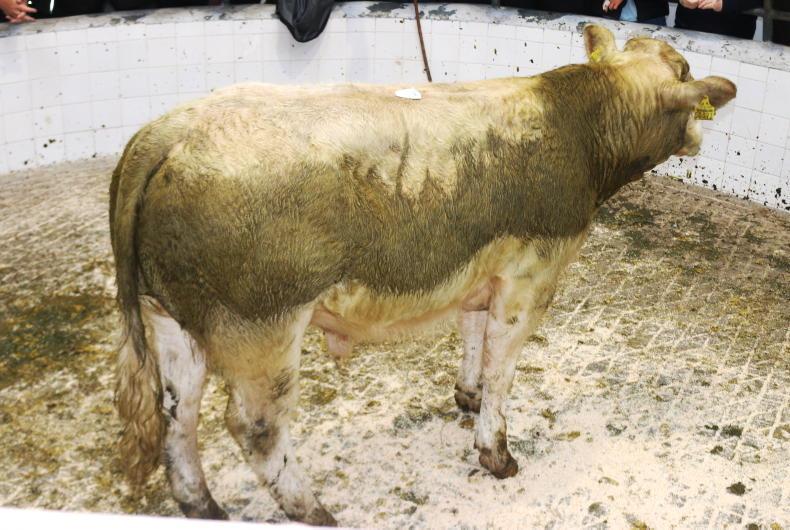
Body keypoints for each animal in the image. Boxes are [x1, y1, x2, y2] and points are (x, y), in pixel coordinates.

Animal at [110, 24, 735, 526]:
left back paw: (203, 506)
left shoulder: (483, 269)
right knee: (255, 429)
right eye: (687, 76)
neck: (580, 124)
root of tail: (171, 128)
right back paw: (314, 512)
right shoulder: (532, 274)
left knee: (177, 410)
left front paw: (468, 397)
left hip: (171, 315)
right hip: (259, 326)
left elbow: (473, 336)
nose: (700, 135)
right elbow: (504, 365)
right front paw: (496, 453)